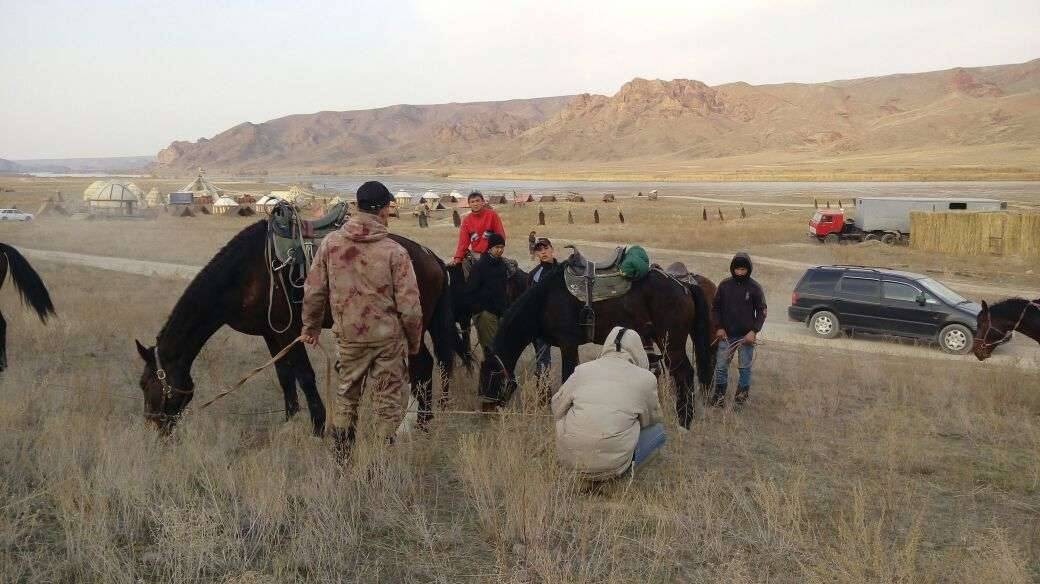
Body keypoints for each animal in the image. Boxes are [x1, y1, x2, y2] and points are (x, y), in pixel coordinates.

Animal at [135, 220, 467, 434]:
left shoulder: (288, 331)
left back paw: (416, 425)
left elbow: (304, 375)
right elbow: (284, 375)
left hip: (411, 325)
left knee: (423, 365)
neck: (242, 274)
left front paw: (318, 426)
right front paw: (289, 420)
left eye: (146, 383)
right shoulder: (271, 333)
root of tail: (430, 257)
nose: (153, 426)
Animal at [476, 264, 715, 428]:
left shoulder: (568, 344)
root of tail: (685, 286)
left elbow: (567, 376)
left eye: (490, 377)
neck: (545, 300)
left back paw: (684, 422)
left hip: (671, 345)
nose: (486, 412)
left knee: (684, 374)